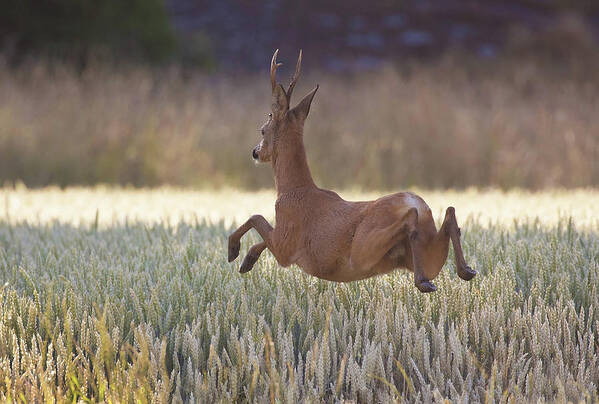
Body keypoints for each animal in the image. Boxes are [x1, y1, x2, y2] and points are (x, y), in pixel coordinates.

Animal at [227, 49, 476, 294]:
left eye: (262, 130)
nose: (255, 152)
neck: (293, 189)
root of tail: (416, 202)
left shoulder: (285, 245)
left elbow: (256, 217)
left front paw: (234, 250)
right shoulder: (282, 240)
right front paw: (247, 260)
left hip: (362, 249)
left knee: (411, 221)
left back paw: (425, 280)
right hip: (427, 253)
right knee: (449, 215)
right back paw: (463, 271)